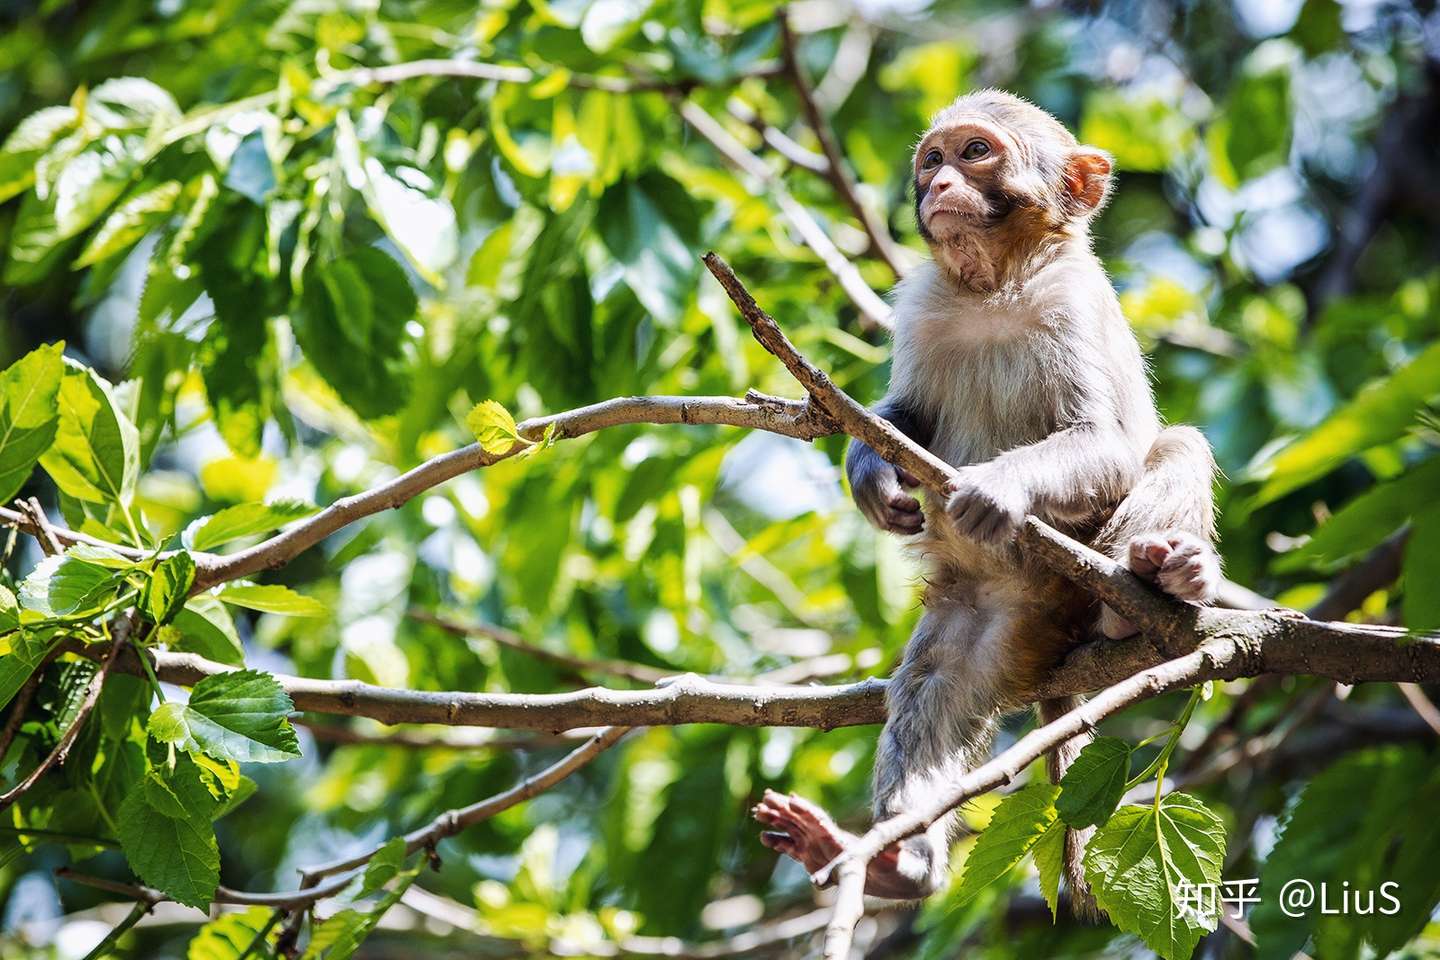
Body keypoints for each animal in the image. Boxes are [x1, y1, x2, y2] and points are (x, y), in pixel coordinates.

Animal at [748, 89, 1221, 915]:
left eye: (975, 153)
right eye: (932, 159)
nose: (938, 184)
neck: (995, 284)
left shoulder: (1072, 299)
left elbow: (1106, 441)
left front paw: (1002, 486)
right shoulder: (923, 302)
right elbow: (905, 415)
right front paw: (870, 471)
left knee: (1181, 445)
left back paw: (1152, 588)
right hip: (989, 621)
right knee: (936, 685)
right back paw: (893, 863)